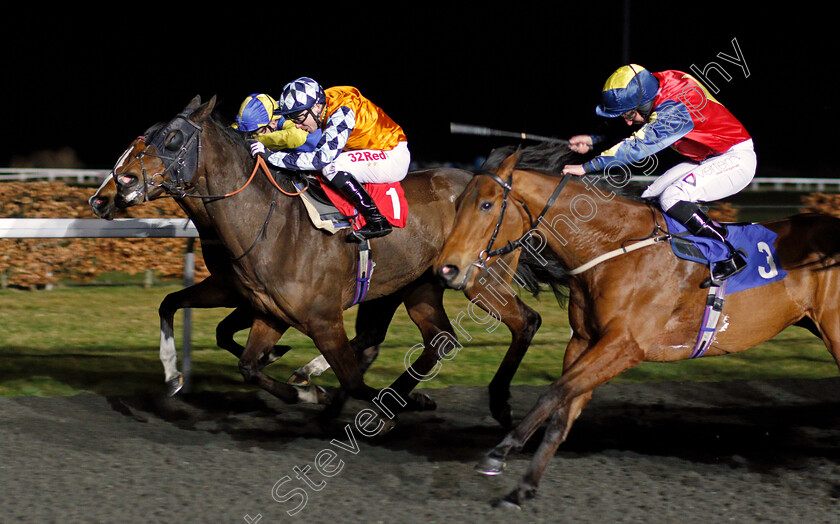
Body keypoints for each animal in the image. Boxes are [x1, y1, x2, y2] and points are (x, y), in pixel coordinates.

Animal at [108, 95, 540, 422]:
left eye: (173, 138)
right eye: (148, 134)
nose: (120, 184)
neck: (270, 222)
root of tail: (503, 189)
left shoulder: (323, 319)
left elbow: (350, 379)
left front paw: (326, 392)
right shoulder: (268, 311)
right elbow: (244, 362)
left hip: (479, 278)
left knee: (526, 321)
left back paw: (498, 405)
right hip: (419, 286)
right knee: (439, 340)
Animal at [436, 145, 840, 506]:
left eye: (486, 204)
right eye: (458, 204)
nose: (447, 268)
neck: (613, 247)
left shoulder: (625, 346)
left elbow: (552, 393)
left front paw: (499, 452)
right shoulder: (584, 341)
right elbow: (563, 411)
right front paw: (523, 489)